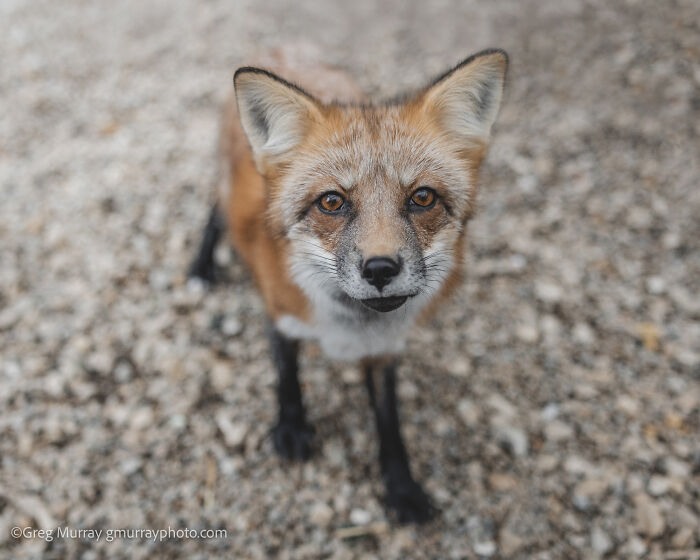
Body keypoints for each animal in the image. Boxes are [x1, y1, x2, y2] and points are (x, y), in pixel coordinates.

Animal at [189, 45, 508, 523]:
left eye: (423, 197)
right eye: (332, 202)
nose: (380, 269)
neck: (350, 327)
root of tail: (281, 51)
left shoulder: (385, 351)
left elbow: (390, 422)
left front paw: (401, 487)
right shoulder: (280, 316)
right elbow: (287, 378)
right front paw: (291, 427)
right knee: (214, 210)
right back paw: (201, 267)